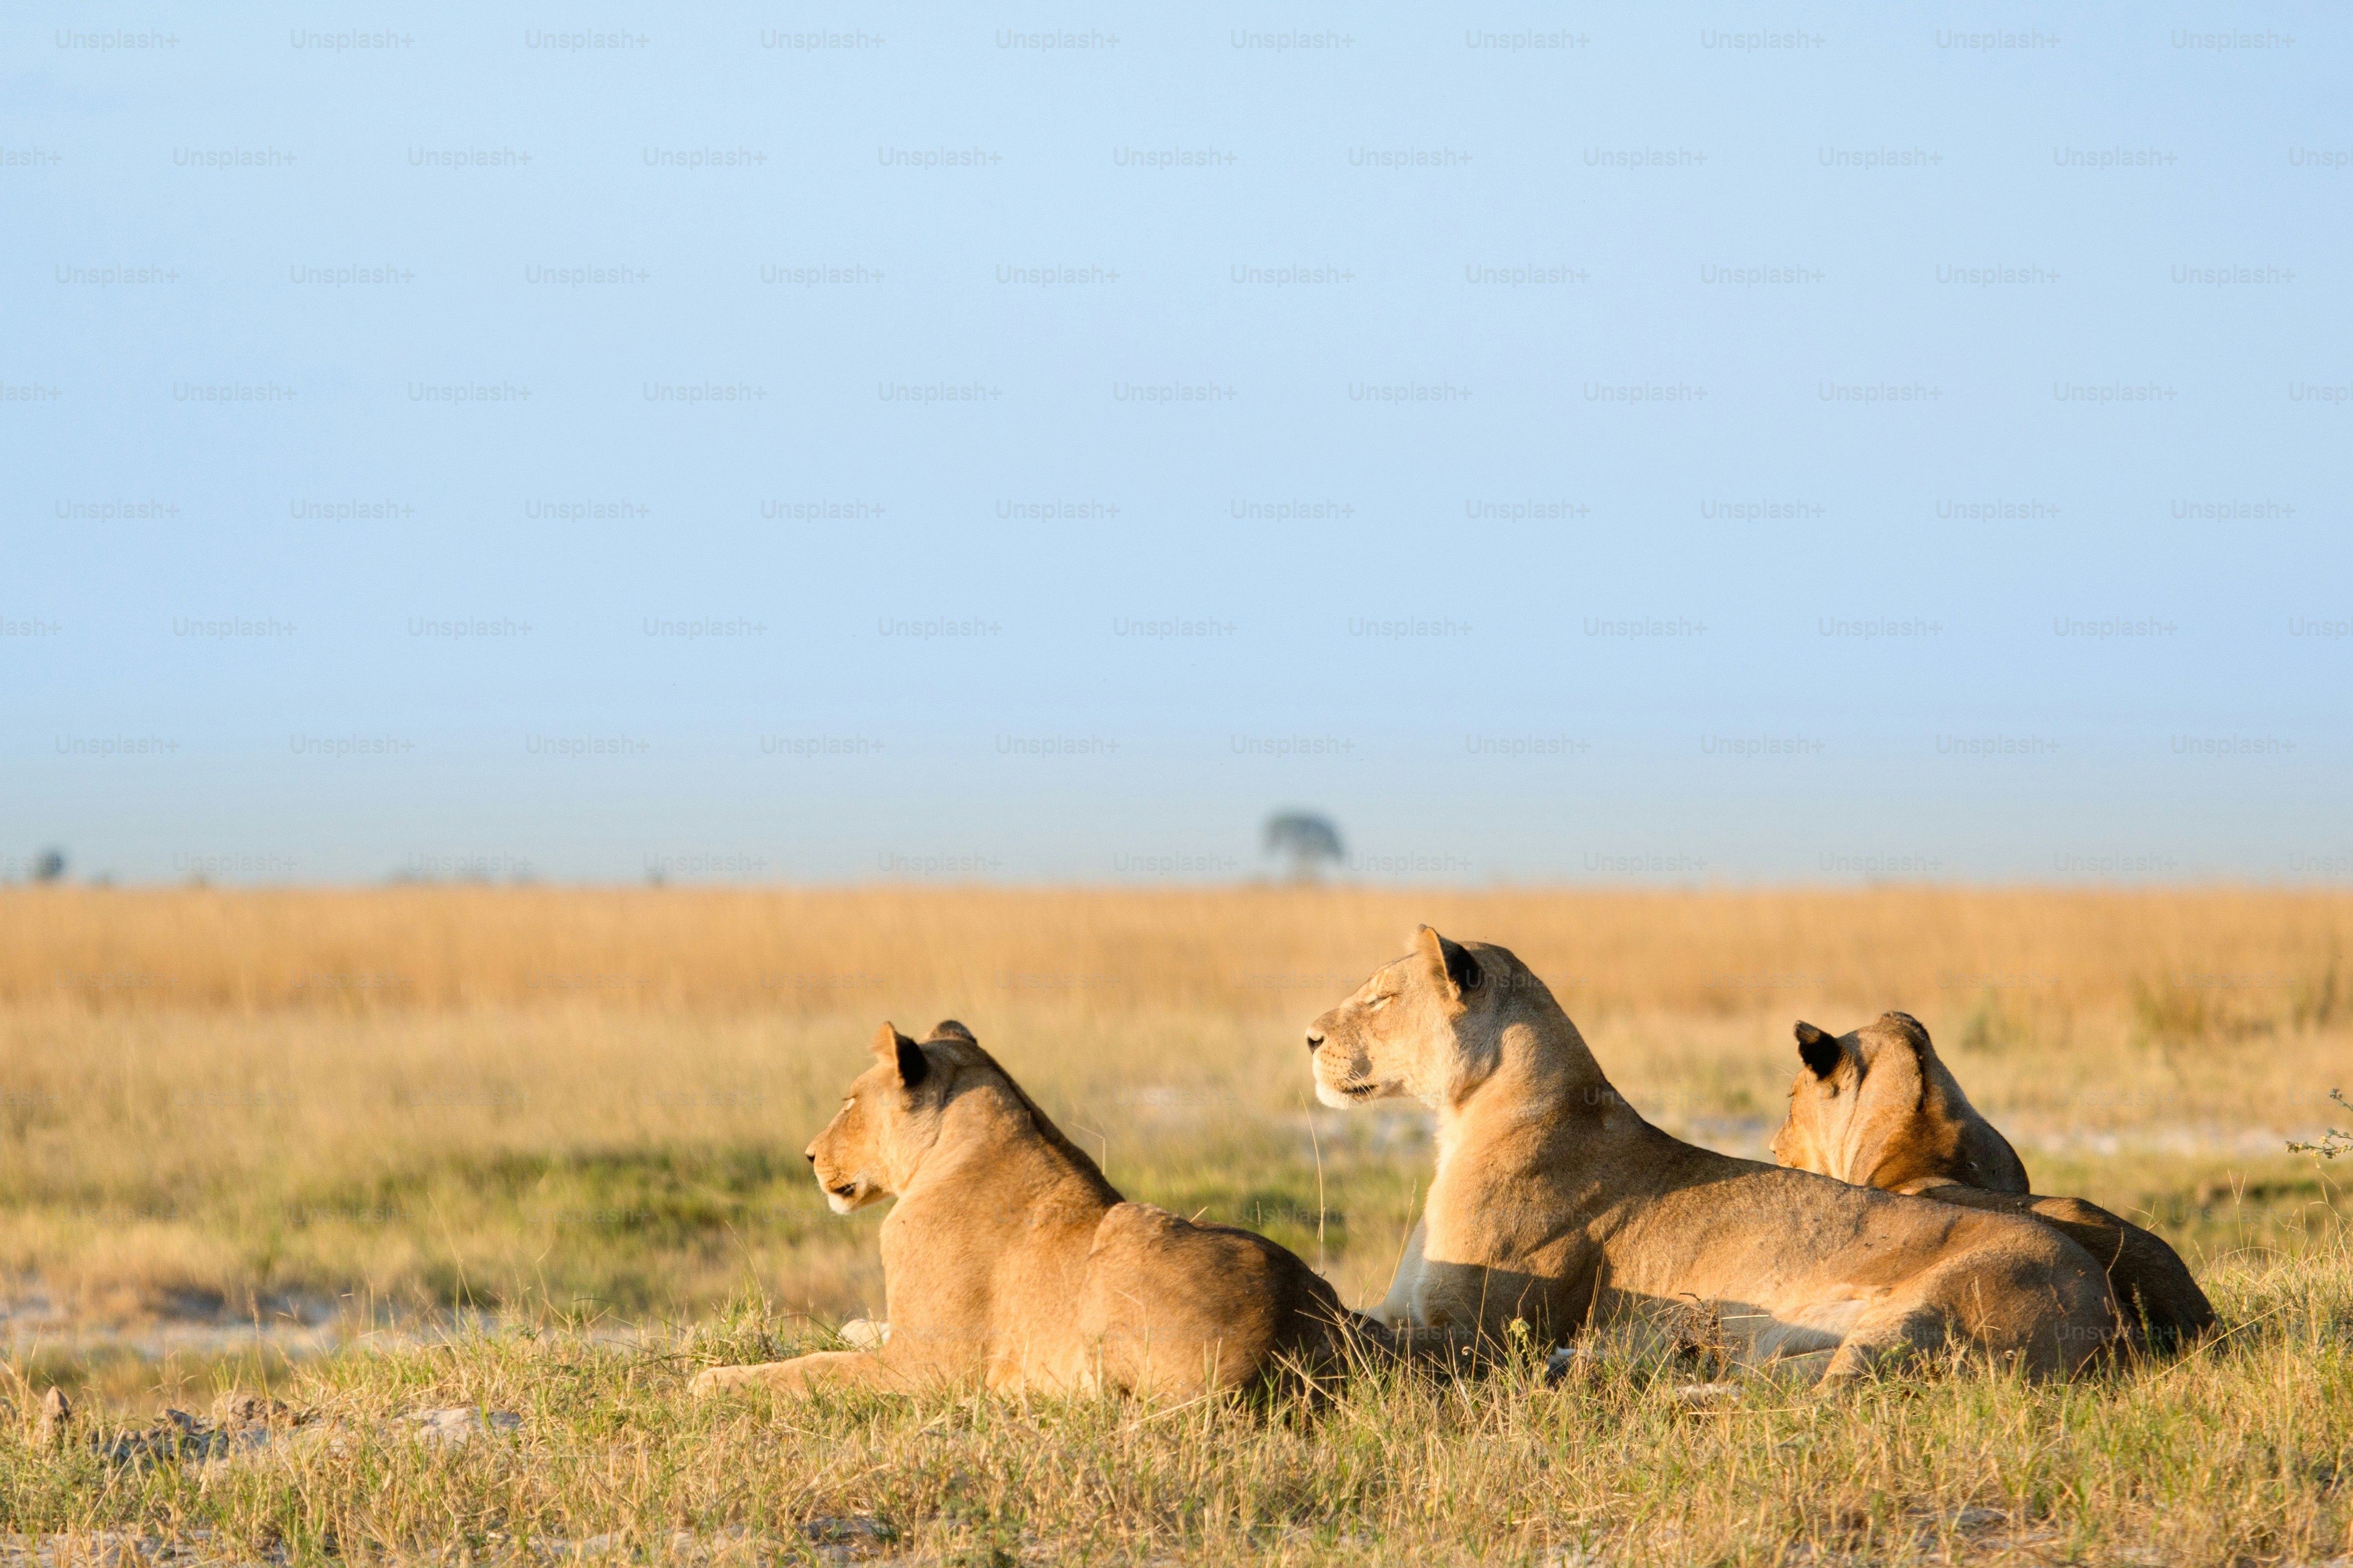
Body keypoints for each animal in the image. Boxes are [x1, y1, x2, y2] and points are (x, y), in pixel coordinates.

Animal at [693, 1020, 1375, 1399]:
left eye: (849, 1102)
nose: (809, 1155)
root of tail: (1306, 1326)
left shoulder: (923, 1369)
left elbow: (809, 1370)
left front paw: (714, 1381)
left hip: (1126, 1233)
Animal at [1307, 928, 2123, 1381]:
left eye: (1379, 998)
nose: (1309, 1037)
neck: (1462, 1119)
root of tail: (2111, 1314)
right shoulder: (1406, 1307)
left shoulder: (1475, 1333)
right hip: (1786, 1341)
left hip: (1916, 1322)